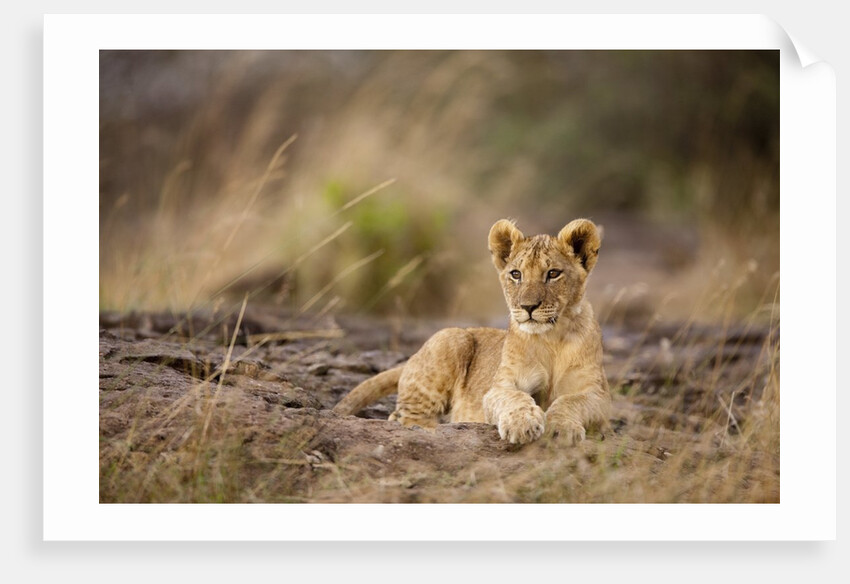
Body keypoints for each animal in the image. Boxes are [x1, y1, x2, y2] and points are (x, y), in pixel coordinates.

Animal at [332, 218, 611, 445]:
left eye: (553, 273)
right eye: (516, 274)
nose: (528, 307)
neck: (552, 338)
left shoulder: (599, 395)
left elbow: (570, 400)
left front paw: (562, 428)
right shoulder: (500, 386)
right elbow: (514, 398)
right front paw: (522, 425)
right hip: (452, 337)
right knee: (402, 417)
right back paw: (435, 428)